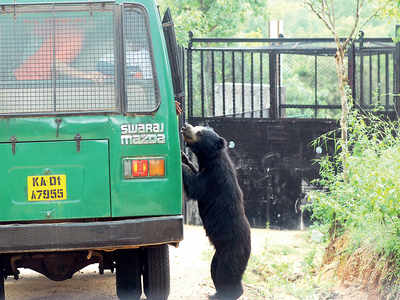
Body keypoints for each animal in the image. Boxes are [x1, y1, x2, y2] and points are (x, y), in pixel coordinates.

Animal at [180, 123, 250, 300]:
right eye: (197, 127)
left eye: (199, 132)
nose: (185, 126)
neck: (210, 159)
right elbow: (194, 171)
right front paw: (184, 157)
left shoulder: (214, 178)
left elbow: (195, 186)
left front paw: (180, 161)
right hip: (218, 255)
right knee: (215, 270)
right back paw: (216, 293)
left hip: (231, 252)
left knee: (227, 274)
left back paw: (226, 294)